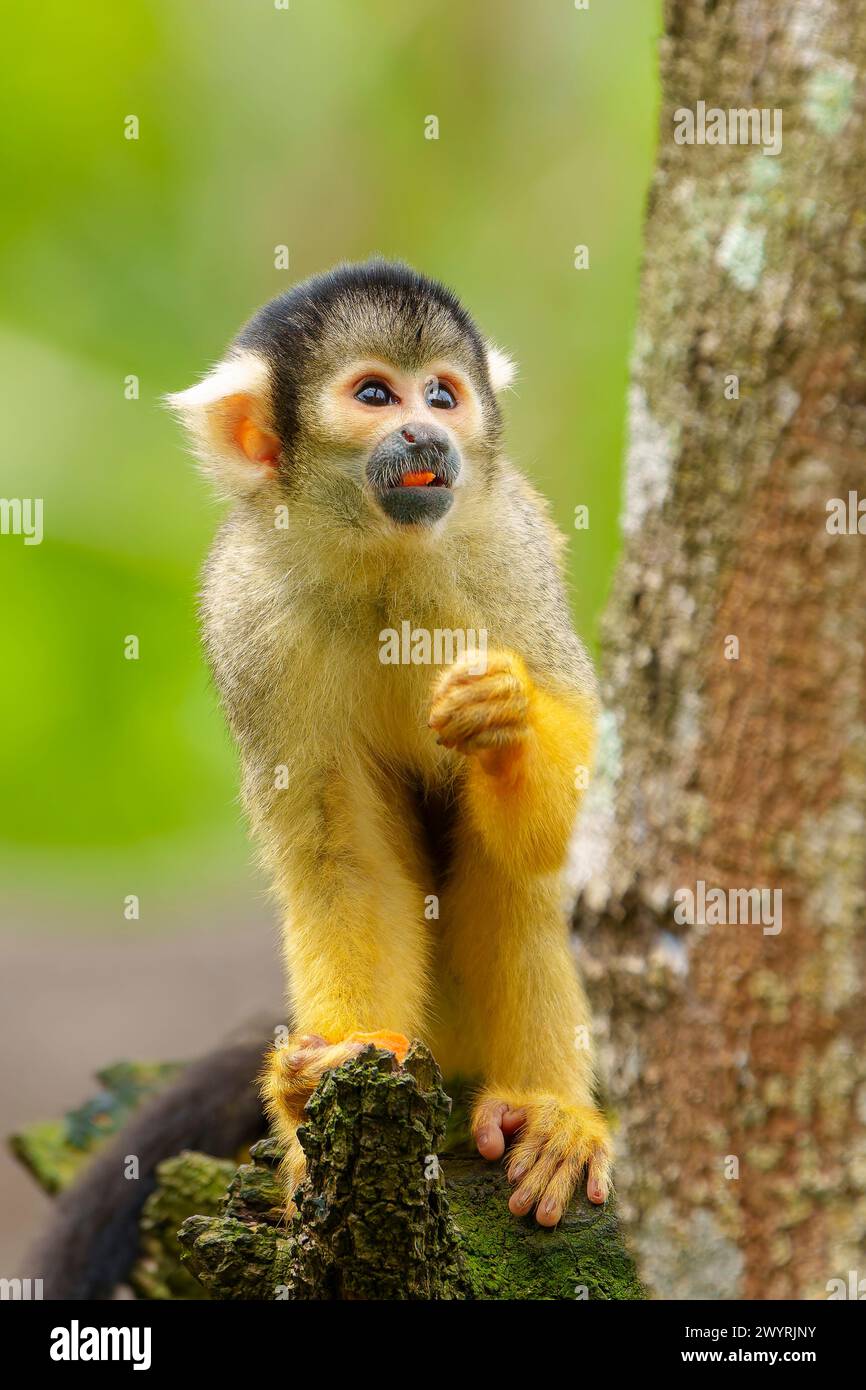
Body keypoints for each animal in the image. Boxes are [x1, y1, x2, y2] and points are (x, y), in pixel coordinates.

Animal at [166, 261, 606, 1228]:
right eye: (375, 394)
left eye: (443, 394)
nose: (425, 431)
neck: (382, 555)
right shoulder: (249, 612)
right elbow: (346, 861)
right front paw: (340, 1061)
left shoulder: (509, 556)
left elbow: (580, 819)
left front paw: (505, 720)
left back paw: (545, 1110)